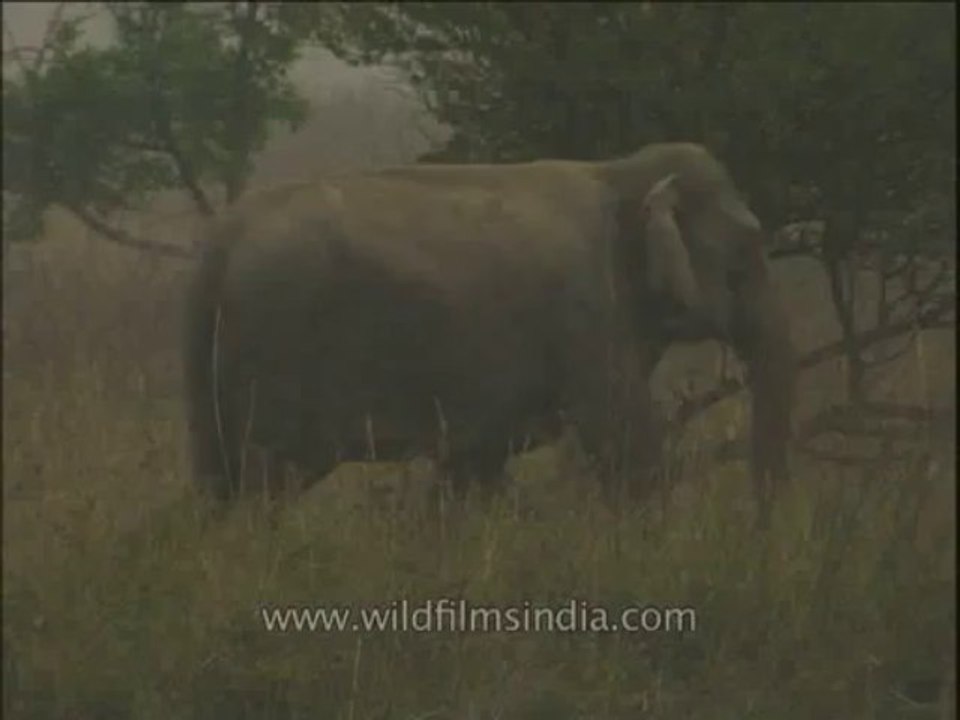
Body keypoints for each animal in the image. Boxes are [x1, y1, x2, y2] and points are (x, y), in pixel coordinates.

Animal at [183, 142, 796, 518]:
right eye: (746, 254)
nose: (760, 530)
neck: (623, 170)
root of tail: (221, 241)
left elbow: (472, 463)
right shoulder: (588, 310)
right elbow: (624, 438)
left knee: (218, 482)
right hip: (276, 342)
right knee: (268, 482)